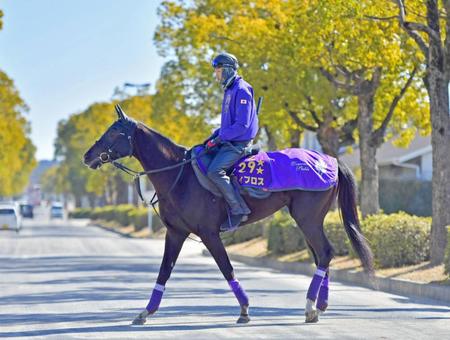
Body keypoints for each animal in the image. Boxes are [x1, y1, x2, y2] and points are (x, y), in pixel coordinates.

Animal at [83, 105, 372, 324]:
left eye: (114, 131)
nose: (87, 156)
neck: (180, 174)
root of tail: (330, 161)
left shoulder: (209, 234)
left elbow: (226, 268)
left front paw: (244, 309)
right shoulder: (175, 233)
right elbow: (164, 271)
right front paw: (146, 311)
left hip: (307, 219)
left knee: (324, 252)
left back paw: (311, 306)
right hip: (308, 220)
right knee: (321, 255)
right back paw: (319, 305)